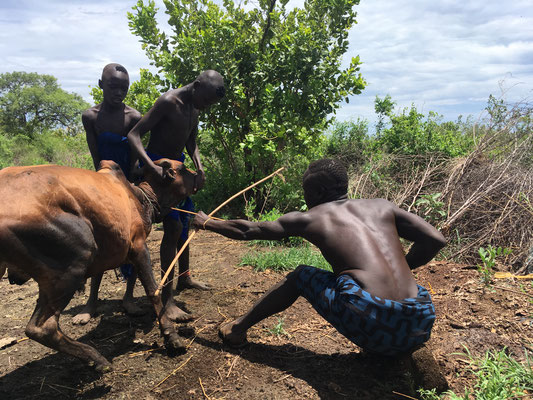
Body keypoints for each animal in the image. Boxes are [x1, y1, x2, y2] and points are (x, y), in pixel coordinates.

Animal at [0, 159, 195, 372]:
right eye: (181, 169)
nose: (198, 175)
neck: (138, 196)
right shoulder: (138, 245)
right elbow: (153, 291)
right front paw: (172, 337)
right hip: (73, 265)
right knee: (42, 328)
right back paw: (97, 359)